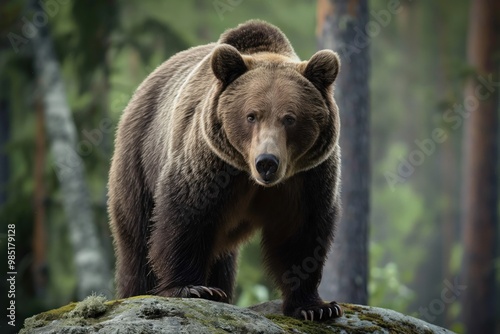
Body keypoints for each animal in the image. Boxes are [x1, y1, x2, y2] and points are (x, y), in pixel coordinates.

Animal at [108, 20, 344, 320]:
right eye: (251, 115)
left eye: (290, 118)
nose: (267, 162)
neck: (251, 177)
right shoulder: (212, 165)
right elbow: (185, 216)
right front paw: (193, 288)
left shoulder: (307, 177)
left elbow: (300, 233)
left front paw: (316, 307)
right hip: (138, 158)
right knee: (136, 237)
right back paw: (138, 290)